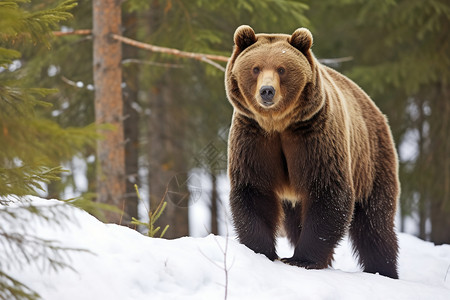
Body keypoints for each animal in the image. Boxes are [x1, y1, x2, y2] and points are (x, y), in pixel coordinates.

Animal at [227, 25, 400, 278]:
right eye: (255, 68)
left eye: (282, 69)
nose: (267, 91)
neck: (278, 124)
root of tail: (372, 106)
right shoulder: (254, 137)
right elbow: (254, 190)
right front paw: (261, 251)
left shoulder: (314, 136)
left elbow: (328, 192)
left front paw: (303, 259)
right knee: (295, 221)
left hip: (371, 158)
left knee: (375, 222)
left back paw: (383, 270)